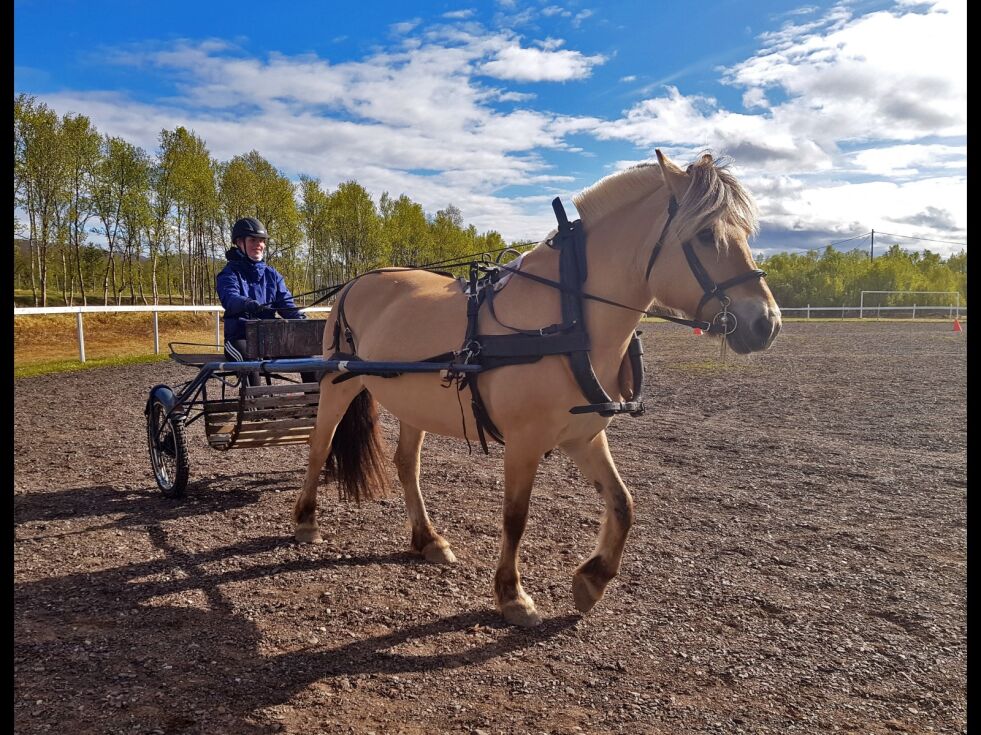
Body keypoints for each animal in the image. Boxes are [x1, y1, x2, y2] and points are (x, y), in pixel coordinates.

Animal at [290, 148, 780, 628]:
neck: (568, 318)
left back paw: (428, 539)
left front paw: (591, 580)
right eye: (704, 235)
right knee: (319, 446)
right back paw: (306, 521)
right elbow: (515, 516)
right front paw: (512, 595)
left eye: (744, 233)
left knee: (407, 465)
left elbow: (623, 503)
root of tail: (354, 283)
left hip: (413, 404)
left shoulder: (584, 436)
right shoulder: (524, 441)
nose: (767, 323)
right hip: (337, 383)